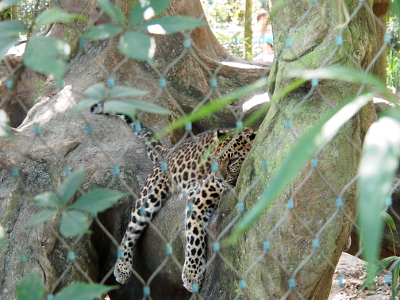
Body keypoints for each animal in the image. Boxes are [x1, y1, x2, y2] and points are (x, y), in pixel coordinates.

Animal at [90, 103, 256, 292]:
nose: (218, 179)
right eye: (214, 159)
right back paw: (122, 269)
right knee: (130, 231)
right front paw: (192, 275)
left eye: (233, 161)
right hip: (150, 196)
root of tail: (171, 149)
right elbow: (194, 236)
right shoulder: (199, 196)